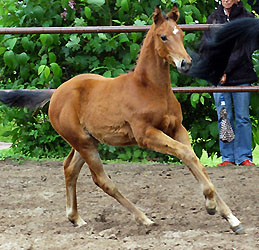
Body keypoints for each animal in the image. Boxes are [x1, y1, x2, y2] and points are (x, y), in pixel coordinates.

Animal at [1, 8, 258, 234]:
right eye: (163, 36)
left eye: (182, 34)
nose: (185, 63)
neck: (150, 88)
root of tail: (56, 93)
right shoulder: (146, 135)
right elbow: (186, 154)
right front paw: (212, 206)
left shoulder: (177, 128)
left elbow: (194, 159)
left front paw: (231, 218)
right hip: (83, 142)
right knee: (101, 179)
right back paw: (143, 218)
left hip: (87, 140)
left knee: (69, 168)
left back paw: (76, 218)